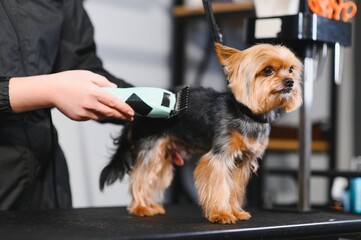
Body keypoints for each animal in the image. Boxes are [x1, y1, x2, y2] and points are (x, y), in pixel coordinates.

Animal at [98, 42, 300, 223]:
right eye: (268, 70)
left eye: (291, 69)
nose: (290, 82)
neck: (247, 112)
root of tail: (136, 115)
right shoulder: (219, 157)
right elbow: (219, 186)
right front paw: (222, 214)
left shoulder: (242, 162)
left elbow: (234, 189)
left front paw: (236, 211)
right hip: (152, 148)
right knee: (141, 175)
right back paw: (140, 207)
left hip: (165, 154)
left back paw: (150, 205)